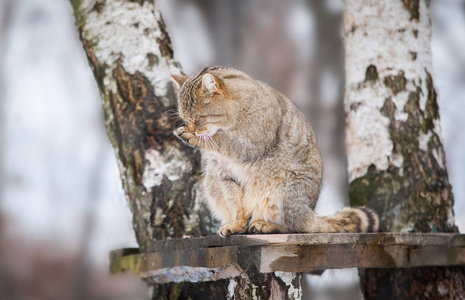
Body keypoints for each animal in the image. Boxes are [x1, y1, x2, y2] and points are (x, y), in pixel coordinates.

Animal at [170, 66, 376, 237]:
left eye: (198, 119)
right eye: (185, 119)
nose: (192, 129)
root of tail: (310, 213)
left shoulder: (252, 145)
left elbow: (224, 143)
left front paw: (195, 138)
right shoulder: (223, 174)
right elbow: (235, 203)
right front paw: (237, 223)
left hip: (285, 191)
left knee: (299, 227)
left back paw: (268, 225)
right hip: (211, 182)